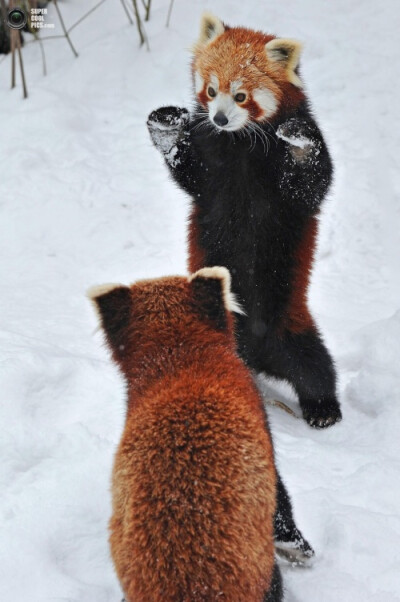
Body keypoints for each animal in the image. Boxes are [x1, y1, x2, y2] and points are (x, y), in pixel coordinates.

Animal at [147, 12, 340, 426]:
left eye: (241, 96)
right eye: (210, 90)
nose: (220, 118)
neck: (241, 143)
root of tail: (255, 351)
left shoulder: (292, 184)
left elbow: (312, 183)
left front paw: (300, 144)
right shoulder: (209, 162)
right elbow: (190, 173)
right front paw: (166, 127)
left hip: (291, 323)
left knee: (315, 366)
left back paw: (324, 409)